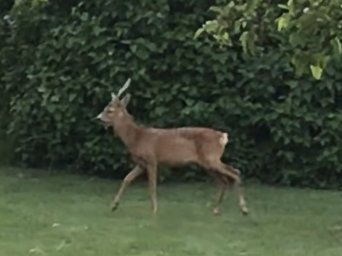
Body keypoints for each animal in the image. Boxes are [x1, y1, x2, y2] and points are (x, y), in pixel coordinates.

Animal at [96, 78, 248, 216]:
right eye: (104, 109)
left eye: (110, 110)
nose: (98, 118)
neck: (137, 138)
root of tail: (222, 136)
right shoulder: (141, 163)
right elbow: (126, 179)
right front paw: (114, 205)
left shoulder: (152, 160)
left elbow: (152, 186)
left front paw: (154, 210)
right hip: (206, 163)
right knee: (223, 180)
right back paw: (216, 210)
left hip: (211, 158)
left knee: (235, 172)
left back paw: (244, 209)